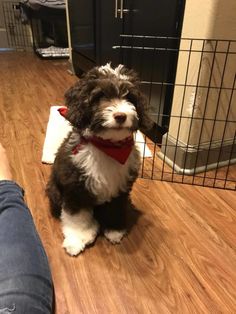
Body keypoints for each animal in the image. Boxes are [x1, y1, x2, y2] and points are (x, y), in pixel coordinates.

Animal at [46, 63, 149, 255]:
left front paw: (115, 230)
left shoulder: (120, 187)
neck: (108, 147)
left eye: (129, 96)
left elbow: (115, 209)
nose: (120, 115)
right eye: (100, 96)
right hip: (55, 191)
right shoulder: (75, 189)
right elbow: (77, 217)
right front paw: (76, 239)